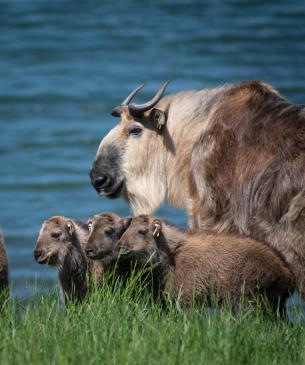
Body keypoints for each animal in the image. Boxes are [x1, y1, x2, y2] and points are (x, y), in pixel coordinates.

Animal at [115, 215, 294, 312]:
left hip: (248, 295)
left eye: (142, 231)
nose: (120, 246)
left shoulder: (185, 293)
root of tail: (286, 274)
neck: (173, 252)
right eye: (127, 228)